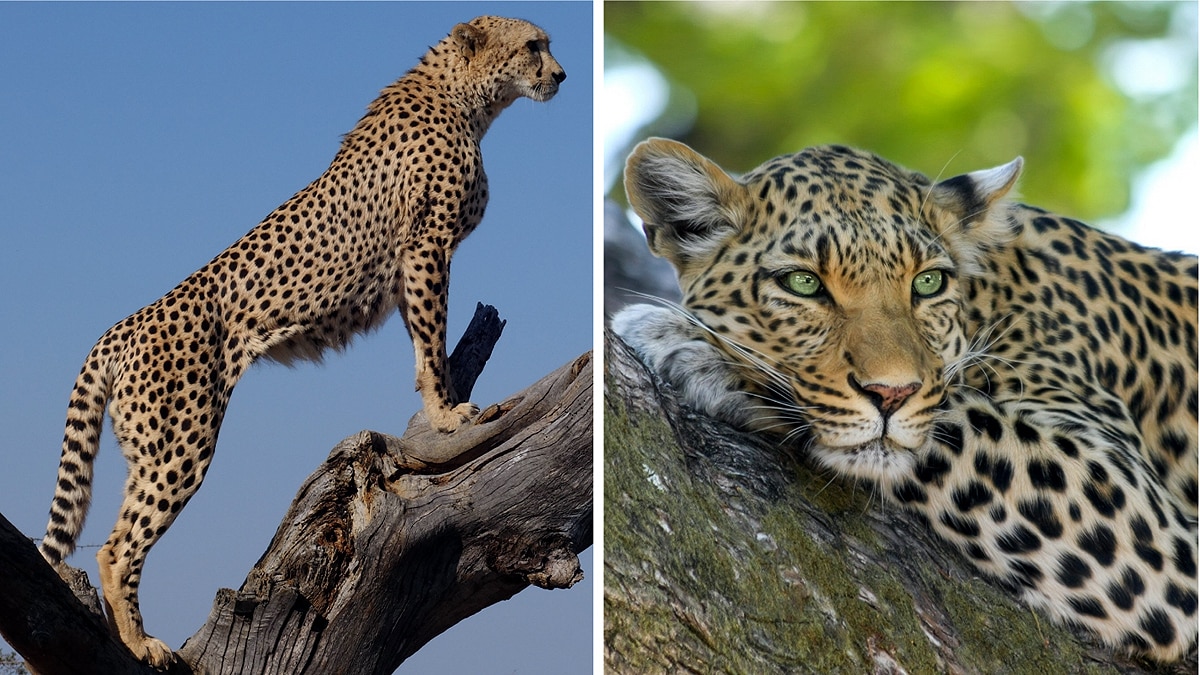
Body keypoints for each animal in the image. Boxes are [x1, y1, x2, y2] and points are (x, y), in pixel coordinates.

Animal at [37, 16, 565, 667]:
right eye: (533, 46)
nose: (561, 75)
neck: (465, 98)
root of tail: (122, 327)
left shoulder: (412, 261)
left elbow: (424, 345)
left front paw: (439, 407)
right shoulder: (426, 247)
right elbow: (432, 339)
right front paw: (447, 416)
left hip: (150, 446)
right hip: (180, 444)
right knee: (116, 547)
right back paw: (142, 643)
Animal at [611, 137, 1198, 662]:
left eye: (928, 283)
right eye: (803, 284)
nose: (891, 394)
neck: (993, 296)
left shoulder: (1146, 518)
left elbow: (950, 417)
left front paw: (690, 346)